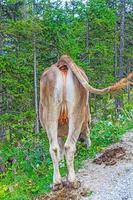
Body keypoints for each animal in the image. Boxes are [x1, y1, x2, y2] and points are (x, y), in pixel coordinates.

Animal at [39, 54, 132, 191]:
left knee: (54, 148)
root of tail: (62, 62)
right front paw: (88, 146)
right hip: (76, 112)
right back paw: (73, 181)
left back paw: (57, 183)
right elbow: (86, 133)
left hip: (50, 113)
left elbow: (60, 150)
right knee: (69, 146)